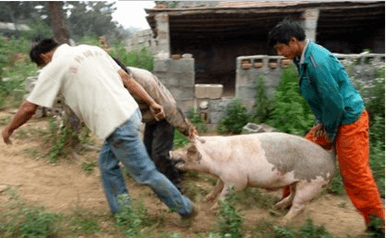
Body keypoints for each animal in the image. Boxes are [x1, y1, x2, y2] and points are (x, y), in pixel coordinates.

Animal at [169, 127, 334, 222]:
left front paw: (212, 210)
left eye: (188, 150)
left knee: (299, 205)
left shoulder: (237, 181)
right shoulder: (225, 177)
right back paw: (276, 207)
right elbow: (217, 187)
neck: (218, 161)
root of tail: (330, 161)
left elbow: (224, 195)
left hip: (311, 184)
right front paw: (206, 199)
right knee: (293, 196)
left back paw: (281, 223)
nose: (170, 152)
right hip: (296, 182)